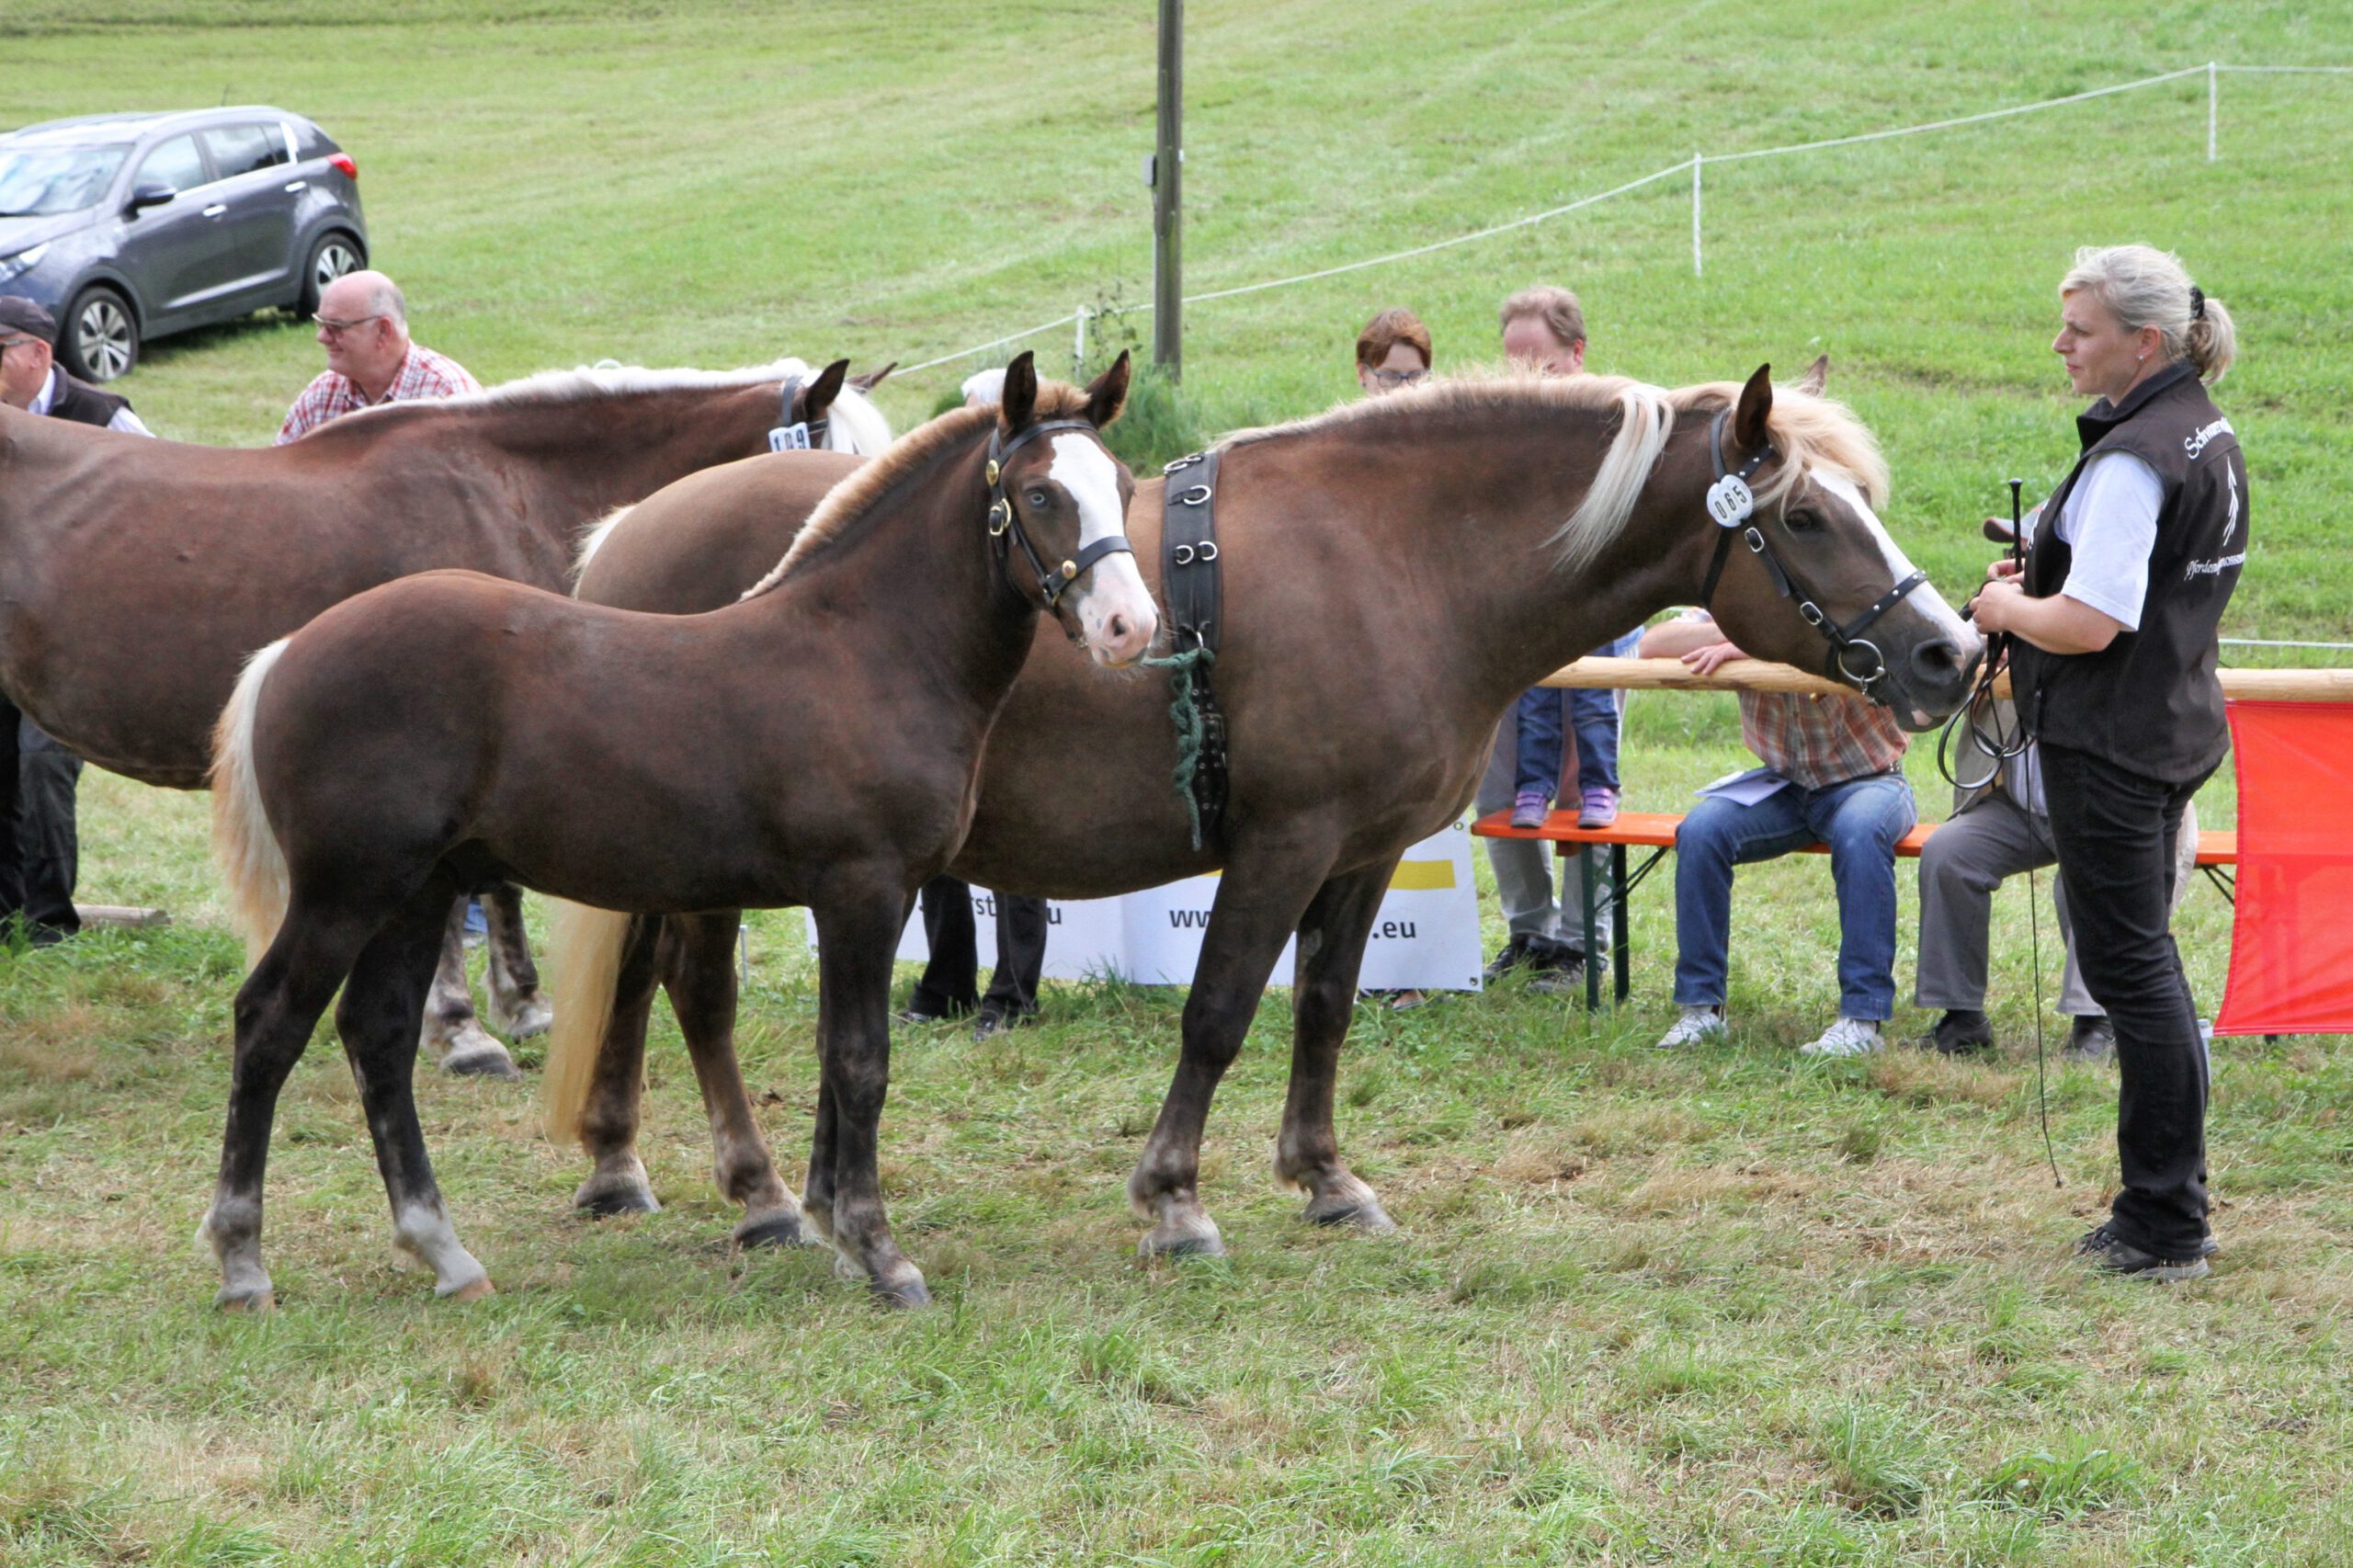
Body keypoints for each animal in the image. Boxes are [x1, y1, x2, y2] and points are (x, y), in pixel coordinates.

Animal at [209, 350, 1148, 1309]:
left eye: (1121, 484)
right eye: (1040, 494)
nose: (1129, 626)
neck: (868, 651)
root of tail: (285, 655)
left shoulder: (859, 902)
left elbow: (832, 1055)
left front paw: (830, 1229)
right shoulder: (864, 890)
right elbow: (860, 1061)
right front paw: (880, 1253)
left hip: (414, 892)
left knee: (381, 1035)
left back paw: (443, 1251)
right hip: (347, 893)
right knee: (269, 1023)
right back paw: (244, 1263)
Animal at [560, 362, 1976, 1271]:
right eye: (1807, 515)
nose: (1948, 653)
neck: (1395, 556)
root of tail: (628, 530)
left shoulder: (1363, 851)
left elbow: (1325, 1009)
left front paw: (1326, 1175)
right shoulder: (1282, 843)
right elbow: (1221, 1011)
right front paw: (1175, 1198)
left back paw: (675, 1174)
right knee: (686, 987)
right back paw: (740, 1188)